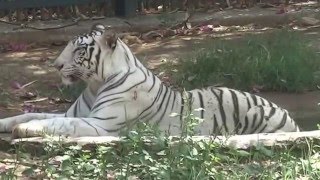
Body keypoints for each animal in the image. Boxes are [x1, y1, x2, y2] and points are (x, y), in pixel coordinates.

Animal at [0, 23, 300, 137]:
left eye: (79, 50)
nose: (56, 65)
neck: (94, 85)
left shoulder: (101, 124)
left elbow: (59, 124)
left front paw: (27, 129)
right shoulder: (73, 112)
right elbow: (30, 113)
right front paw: (8, 122)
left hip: (256, 113)